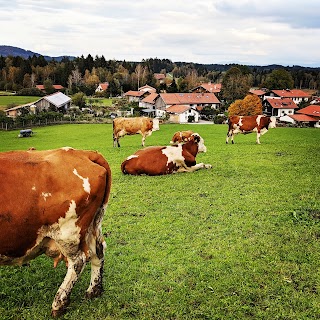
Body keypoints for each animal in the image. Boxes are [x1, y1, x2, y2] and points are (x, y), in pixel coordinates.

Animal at [0, 148, 112, 318]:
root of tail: (85, 153)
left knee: (78, 260)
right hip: (93, 225)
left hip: (68, 233)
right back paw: (94, 291)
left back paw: (59, 303)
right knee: (98, 251)